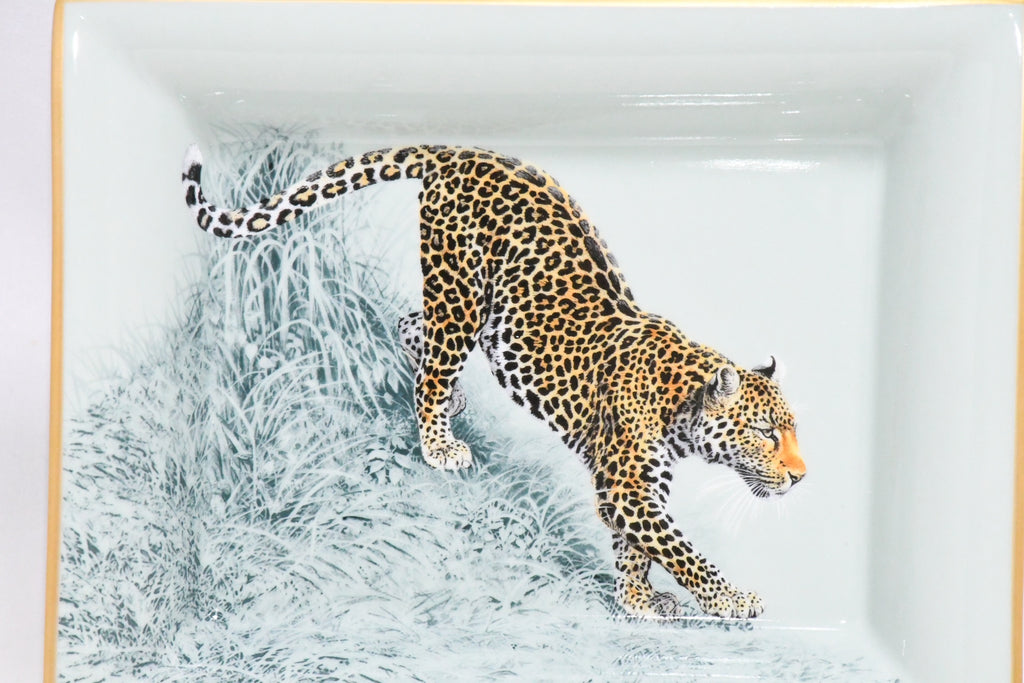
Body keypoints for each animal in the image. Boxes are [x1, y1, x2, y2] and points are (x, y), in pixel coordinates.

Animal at [182, 143, 806, 620]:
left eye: (791, 430)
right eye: (766, 433)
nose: (801, 479)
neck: (681, 407)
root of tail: (460, 152)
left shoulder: (636, 486)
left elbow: (635, 548)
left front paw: (638, 600)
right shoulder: (628, 485)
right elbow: (680, 550)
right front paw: (731, 600)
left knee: (410, 327)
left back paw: (450, 402)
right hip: (460, 292)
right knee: (431, 366)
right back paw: (439, 445)